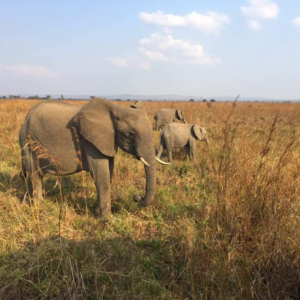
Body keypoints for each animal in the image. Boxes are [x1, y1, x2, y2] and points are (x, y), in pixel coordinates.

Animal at [18, 98, 157, 218]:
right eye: (131, 134)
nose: (137, 197)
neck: (117, 109)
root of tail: (26, 117)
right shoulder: (89, 142)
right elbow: (100, 174)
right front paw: (107, 219)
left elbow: (108, 172)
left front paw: (97, 212)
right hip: (28, 142)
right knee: (35, 175)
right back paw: (39, 206)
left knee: (33, 176)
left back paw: (30, 203)